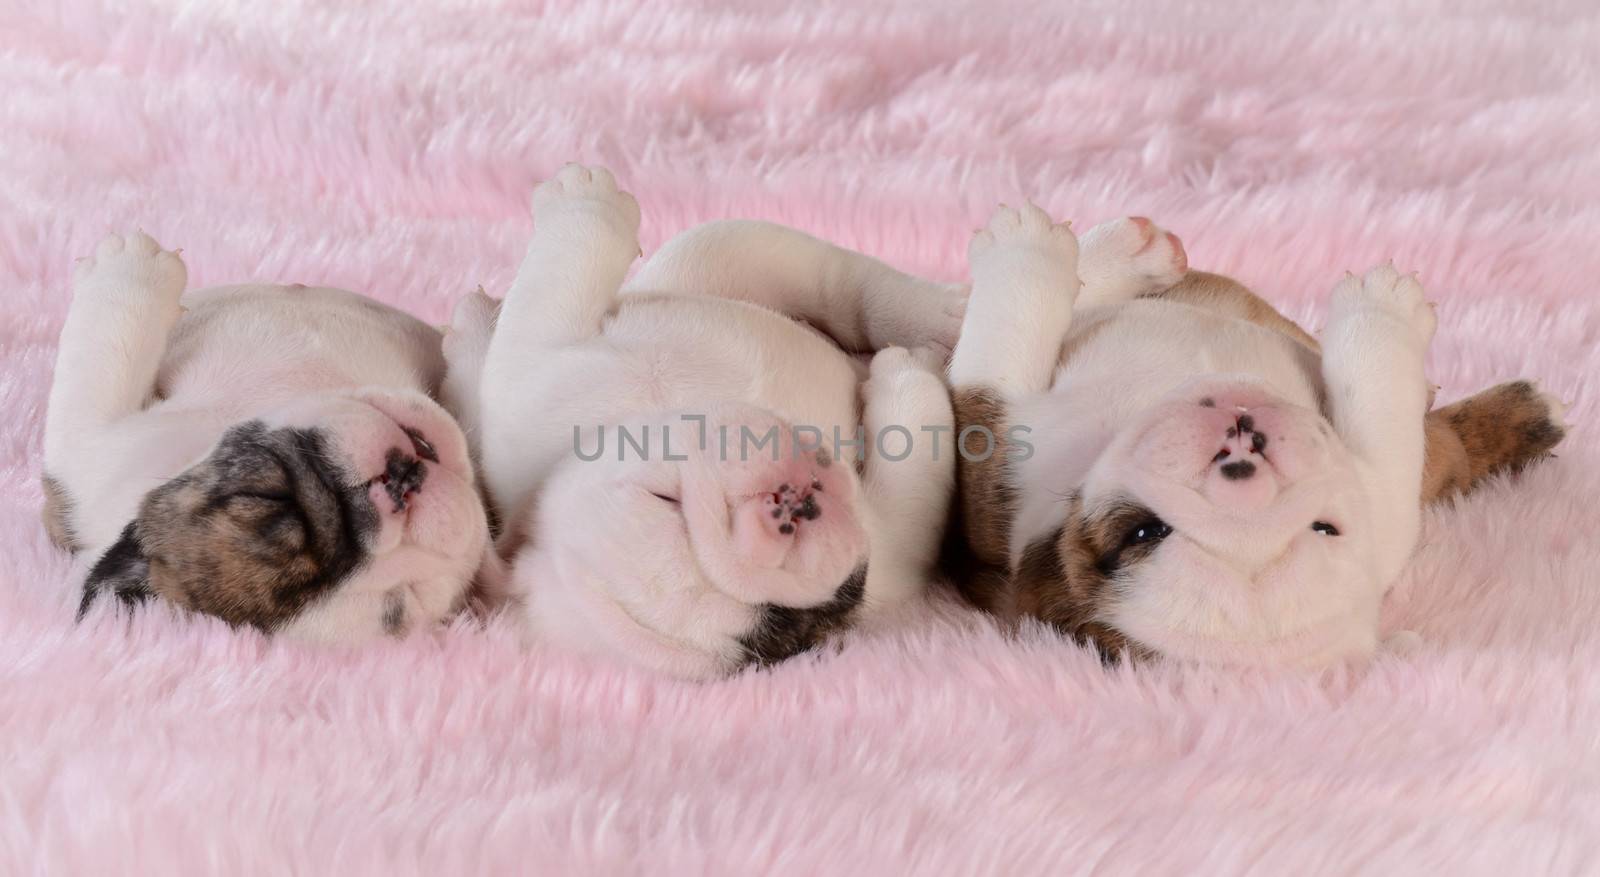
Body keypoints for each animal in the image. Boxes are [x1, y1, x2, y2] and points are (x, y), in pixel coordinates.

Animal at [46, 230, 489, 643]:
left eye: (404, 600)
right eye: (275, 499)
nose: (399, 481)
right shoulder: (97, 459)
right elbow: (102, 360)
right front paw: (127, 269)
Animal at [438, 164, 960, 678]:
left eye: (662, 497)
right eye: (782, 625)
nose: (785, 508)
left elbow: (795, 266)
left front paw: (933, 319)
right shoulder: (884, 558)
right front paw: (907, 371)